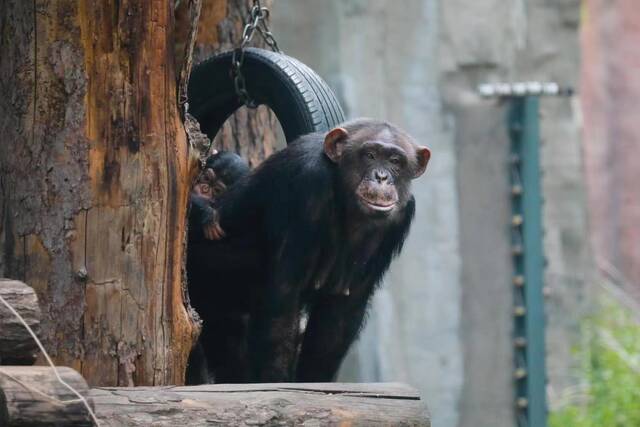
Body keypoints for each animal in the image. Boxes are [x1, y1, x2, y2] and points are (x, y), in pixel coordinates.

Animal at [210, 118, 430, 382]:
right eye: (369, 155)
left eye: (395, 161)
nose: (381, 176)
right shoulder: (310, 182)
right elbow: (283, 300)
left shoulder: (399, 220)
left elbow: (339, 316)